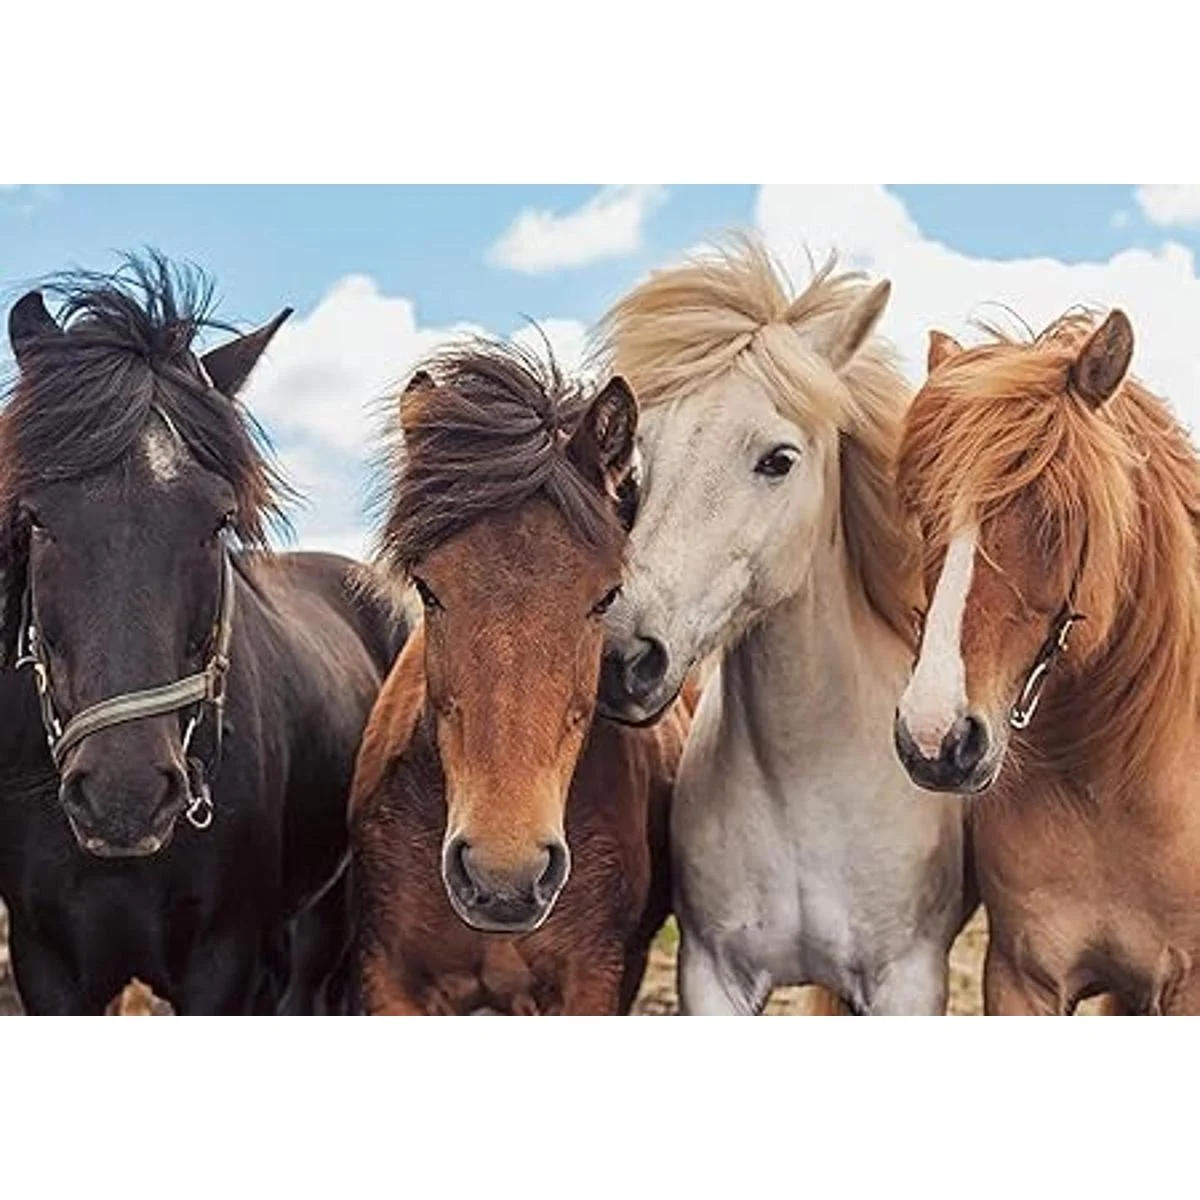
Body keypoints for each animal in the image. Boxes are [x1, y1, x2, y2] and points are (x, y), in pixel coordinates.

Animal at [595, 237, 970, 1015]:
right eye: (640, 466)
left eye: (779, 459)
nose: (622, 660)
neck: (803, 784)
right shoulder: (712, 976)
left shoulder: (908, 980)